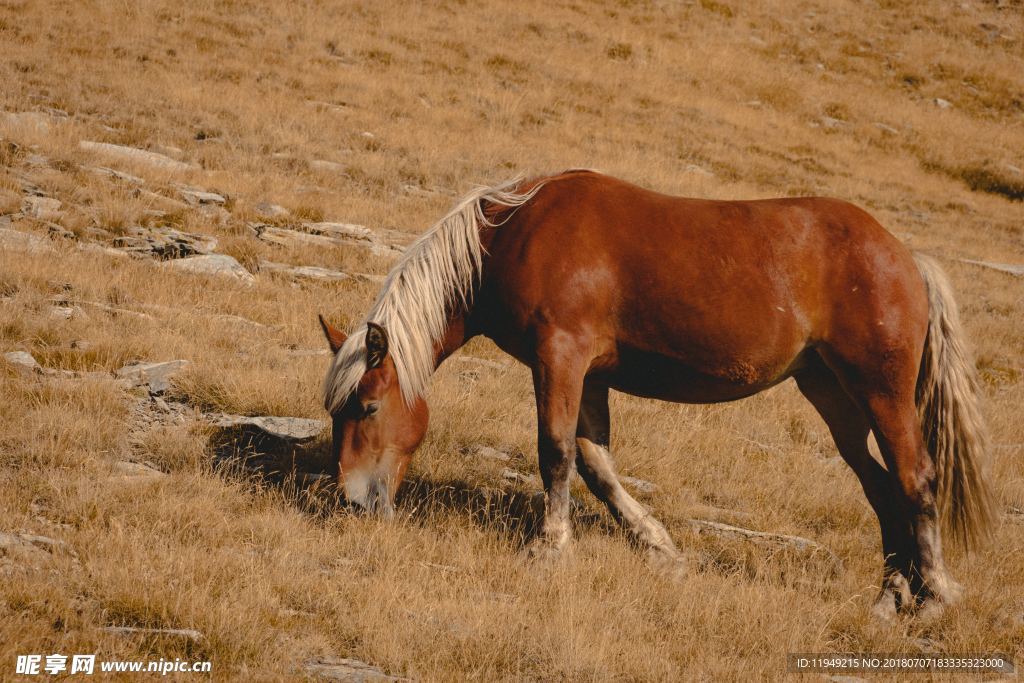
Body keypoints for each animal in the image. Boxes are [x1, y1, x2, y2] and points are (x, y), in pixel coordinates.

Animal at [319, 167, 991, 618]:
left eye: (369, 407)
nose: (354, 501)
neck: (515, 232)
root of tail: (906, 257)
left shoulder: (560, 357)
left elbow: (555, 451)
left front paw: (550, 547)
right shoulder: (589, 374)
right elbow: (597, 464)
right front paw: (661, 548)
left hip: (882, 394)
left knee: (916, 479)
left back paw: (934, 597)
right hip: (834, 397)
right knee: (881, 487)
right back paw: (889, 596)